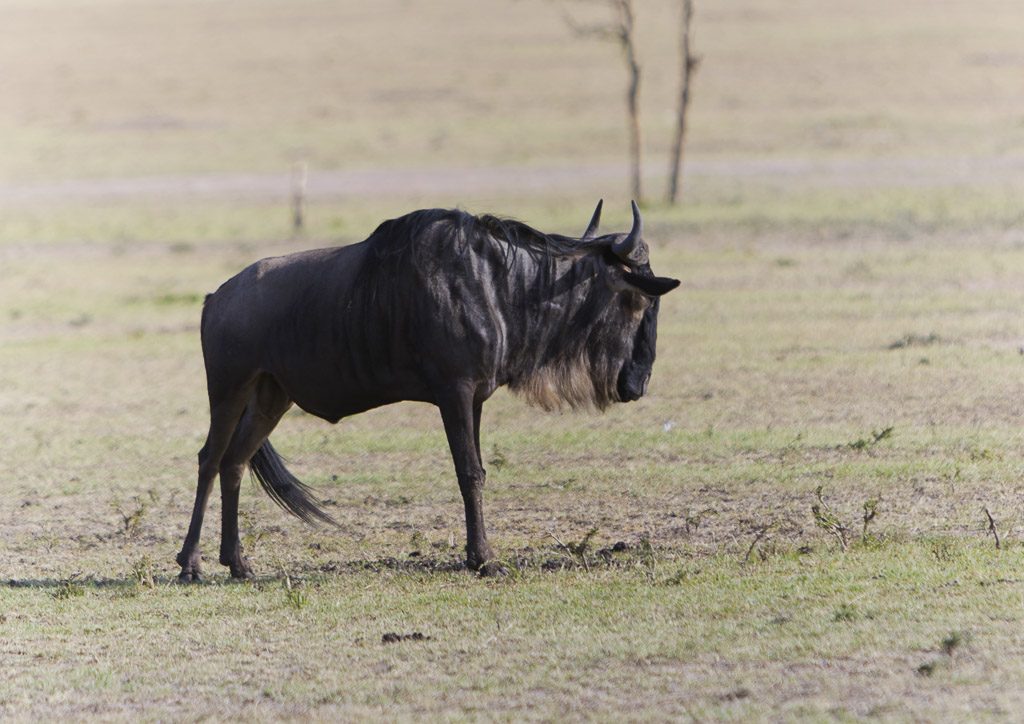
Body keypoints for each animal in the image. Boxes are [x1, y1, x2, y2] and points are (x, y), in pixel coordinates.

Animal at [176, 200, 679, 581]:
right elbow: (469, 472)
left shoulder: (475, 397)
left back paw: (238, 564)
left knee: (235, 463)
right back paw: (190, 565)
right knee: (209, 461)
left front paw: (479, 555)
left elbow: (478, 472)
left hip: (270, 399)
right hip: (228, 393)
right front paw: (484, 560)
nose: (638, 382)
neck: (499, 287)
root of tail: (215, 297)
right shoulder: (453, 391)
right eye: (640, 299)